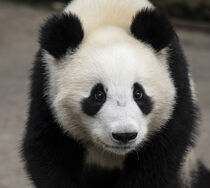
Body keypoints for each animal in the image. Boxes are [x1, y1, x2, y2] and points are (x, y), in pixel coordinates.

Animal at [21, 0, 210, 188]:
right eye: (98, 95)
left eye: (139, 93)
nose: (125, 135)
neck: (109, 15)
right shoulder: (46, 86)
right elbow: (48, 149)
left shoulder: (175, 80)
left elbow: (160, 156)